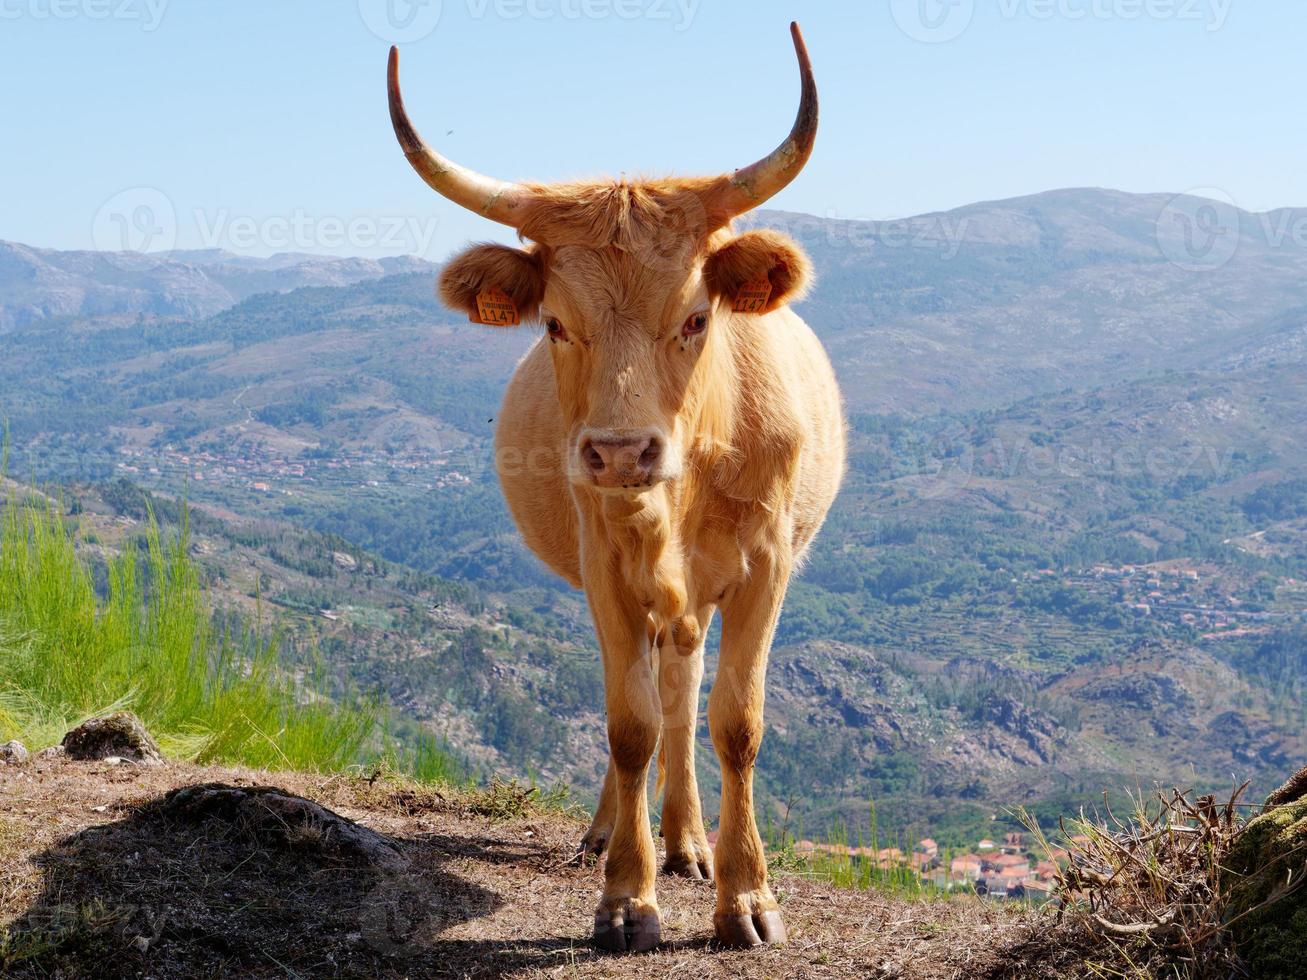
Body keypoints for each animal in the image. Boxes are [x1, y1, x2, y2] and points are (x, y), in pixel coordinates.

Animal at [384, 23, 846, 956]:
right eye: (556, 323)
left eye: (697, 317)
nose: (622, 451)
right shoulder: (605, 567)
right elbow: (628, 724)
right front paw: (628, 898)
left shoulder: (765, 566)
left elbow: (736, 723)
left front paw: (745, 897)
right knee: (653, 698)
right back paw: (615, 833)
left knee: (685, 686)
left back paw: (688, 841)